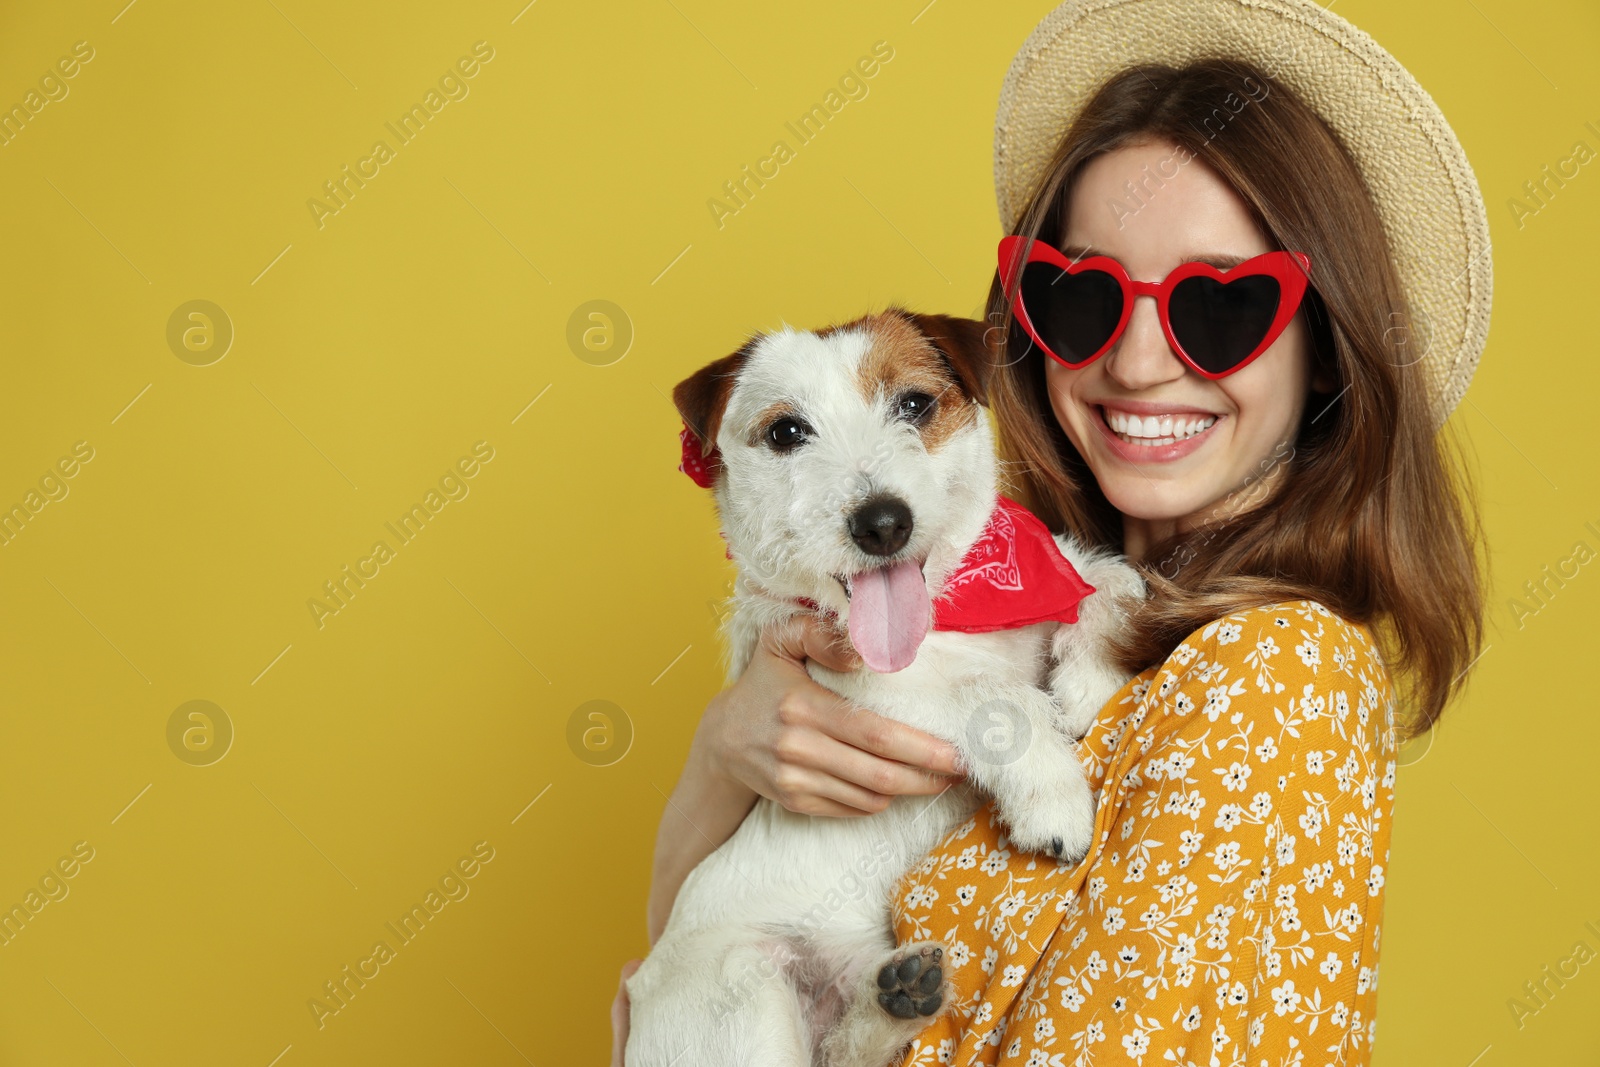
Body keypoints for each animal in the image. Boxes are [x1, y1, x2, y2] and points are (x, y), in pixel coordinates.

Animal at [630, 308, 1145, 1067]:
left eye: (915, 404)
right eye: (786, 432)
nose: (882, 523)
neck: (951, 611)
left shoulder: (1043, 581)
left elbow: (1110, 580)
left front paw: (1089, 678)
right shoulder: (866, 697)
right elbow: (995, 696)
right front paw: (1053, 797)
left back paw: (897, 995)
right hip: (744, 996)